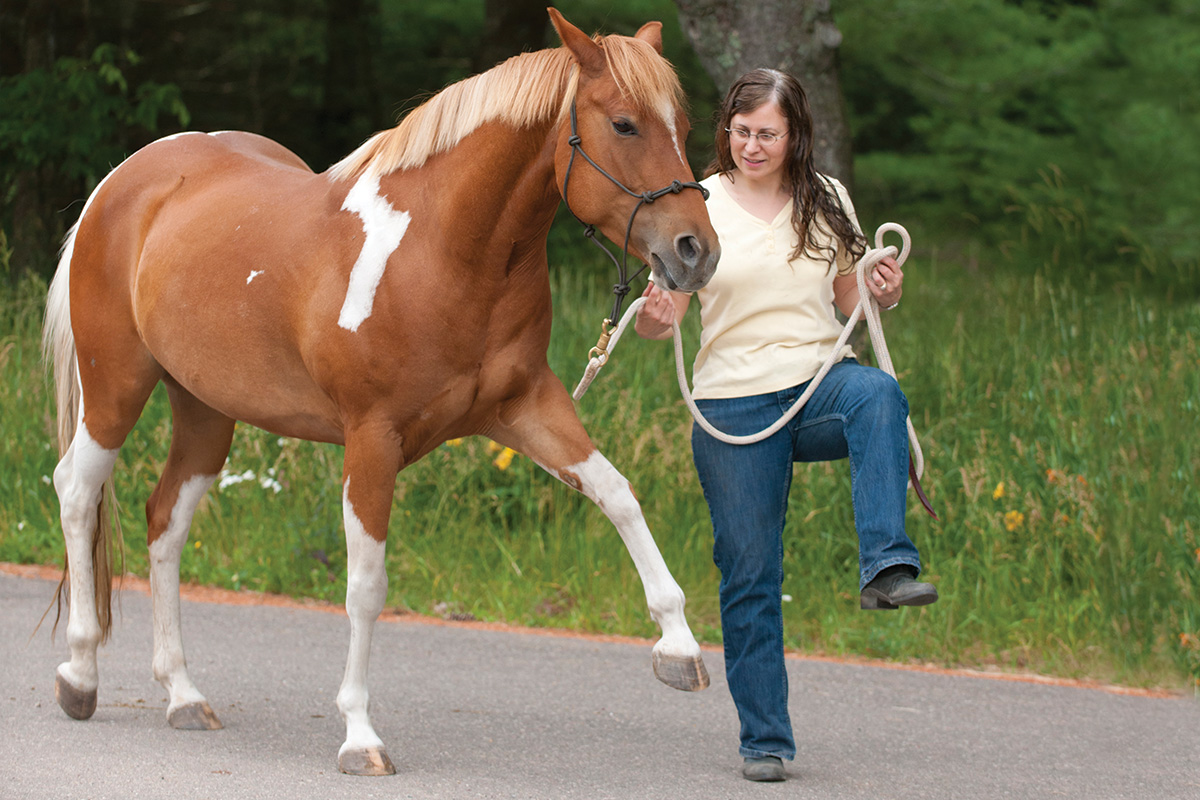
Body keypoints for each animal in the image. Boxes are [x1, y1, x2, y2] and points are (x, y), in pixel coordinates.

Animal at [44, 7, 720, 777]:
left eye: (683, 125)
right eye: (625, 125)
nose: (696, 252)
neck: (443, 251)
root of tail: (124, 181)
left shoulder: (526, 409)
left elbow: (617, 494)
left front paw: (679, 646)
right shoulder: (373, 439)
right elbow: (367, 589)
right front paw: (360, 735)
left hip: (207, 412)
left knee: (166, 523)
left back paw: (184, 694)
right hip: (116, 386)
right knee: (78, 491)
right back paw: (80, 675)